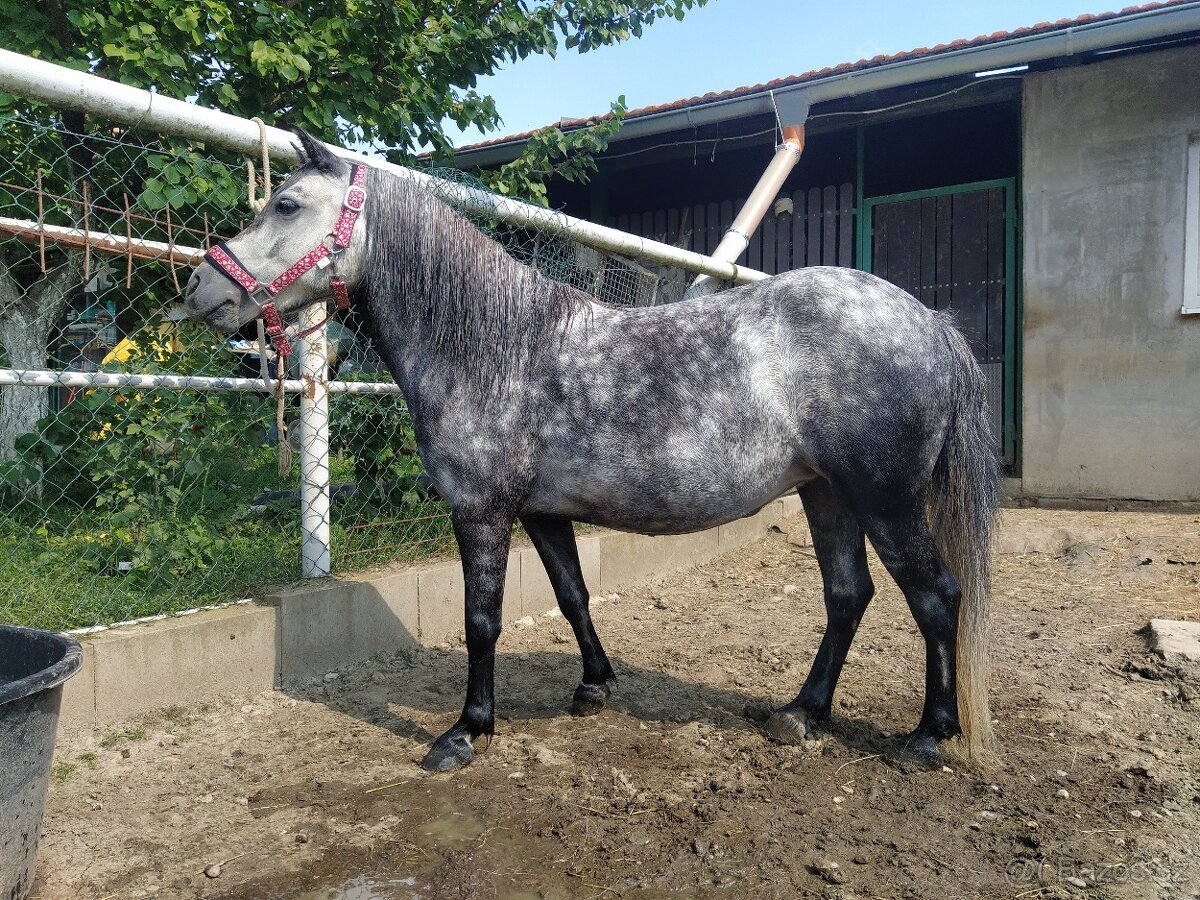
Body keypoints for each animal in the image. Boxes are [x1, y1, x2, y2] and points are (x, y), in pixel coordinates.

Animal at [184, 130, 999, 772]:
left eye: (286, 206)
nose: (200, 288)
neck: (495, 348)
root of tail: (930, 322)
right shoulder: (542, 512)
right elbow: (572, 593)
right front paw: (595, 684)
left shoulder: (482, 511)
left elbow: (482, 621)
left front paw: (466, 732)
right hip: (825, 492)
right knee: (847, 595)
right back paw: (801, 712)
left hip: (885, 500)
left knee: (936, 595)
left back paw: (929, 736)